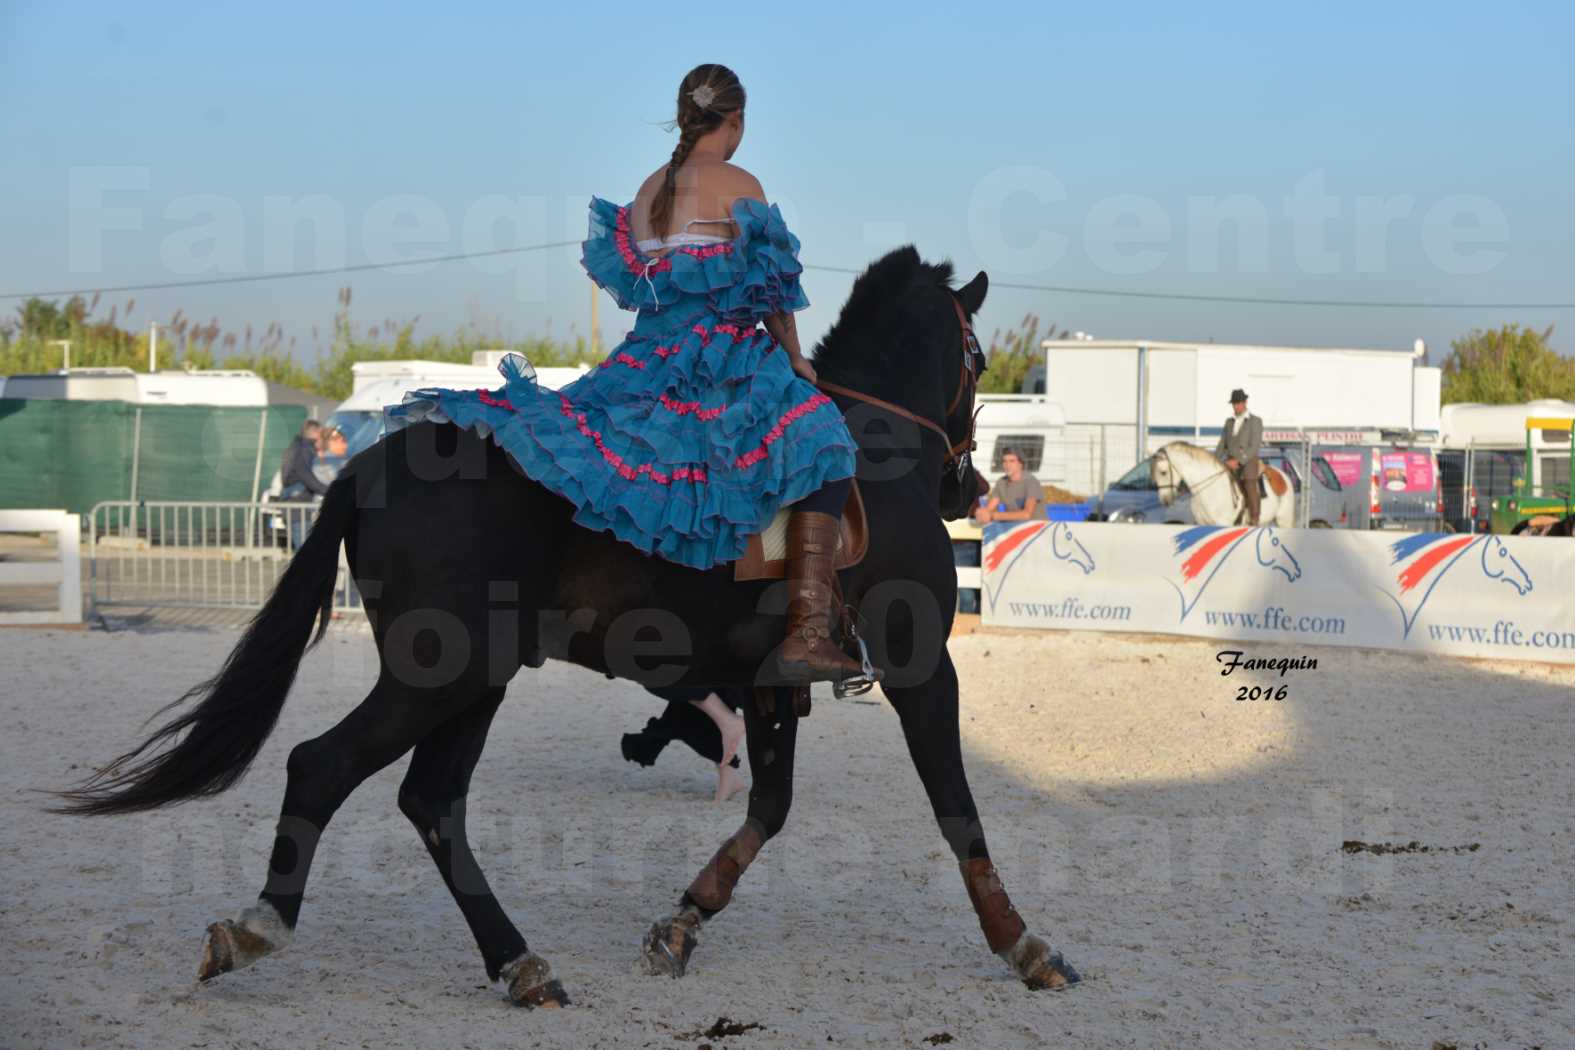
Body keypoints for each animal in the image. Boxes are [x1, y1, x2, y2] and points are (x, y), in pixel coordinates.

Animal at [67, 248, 1089, 1007]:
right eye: (975, 358)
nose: (967, 483)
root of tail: (373, 461)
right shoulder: (921, 668)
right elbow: (956, 810)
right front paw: (1023, 944)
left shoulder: (770, 687)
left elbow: (768, 808)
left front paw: (681, 923)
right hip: (440, 673)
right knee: (324, 767)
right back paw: (256, 929)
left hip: (476, 678)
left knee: (431, 802)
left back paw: (518, 963)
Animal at [1152, 440, 1297, 528]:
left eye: (1163, 472)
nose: (1164, 500)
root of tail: (1283, 474)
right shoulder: (1201, 524)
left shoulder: (1223, 523)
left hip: (1284, 520)